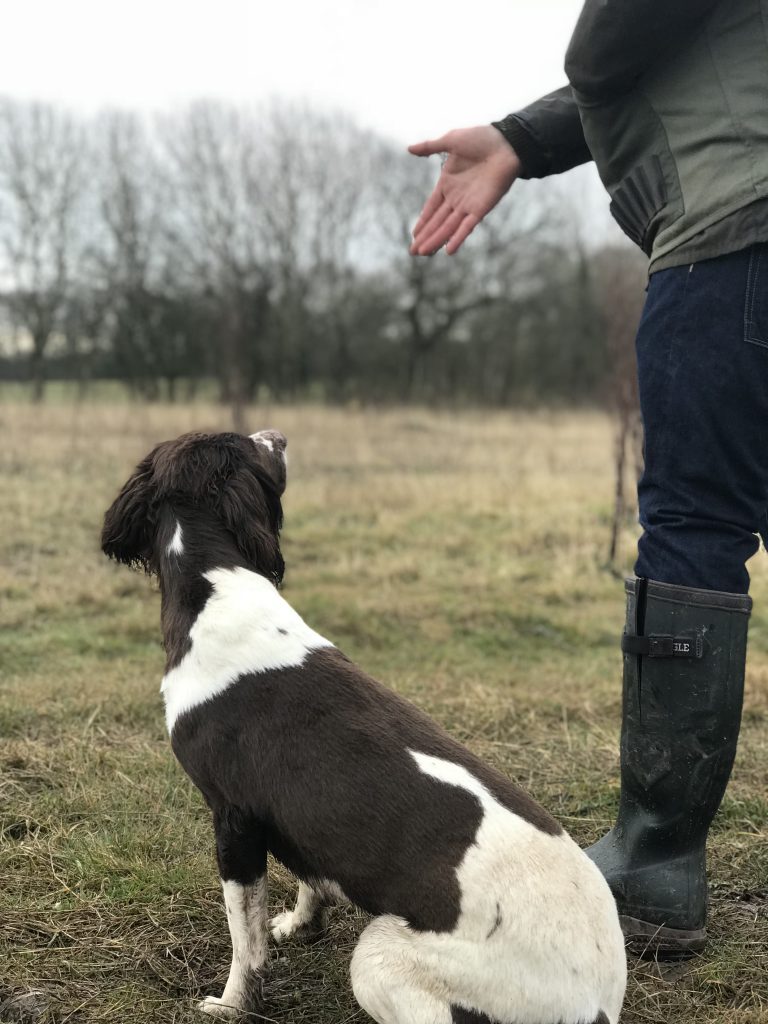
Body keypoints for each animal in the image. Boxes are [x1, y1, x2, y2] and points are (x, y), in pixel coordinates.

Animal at [102, 432, 626, 1024]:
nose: (278, 436)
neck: (218, 590)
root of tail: (599, 1004)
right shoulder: (295, 815)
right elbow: (310, 876)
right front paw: (300, 924)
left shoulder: (234, 820)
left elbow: (245, 941)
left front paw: (233, 1003)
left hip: (380, 955)